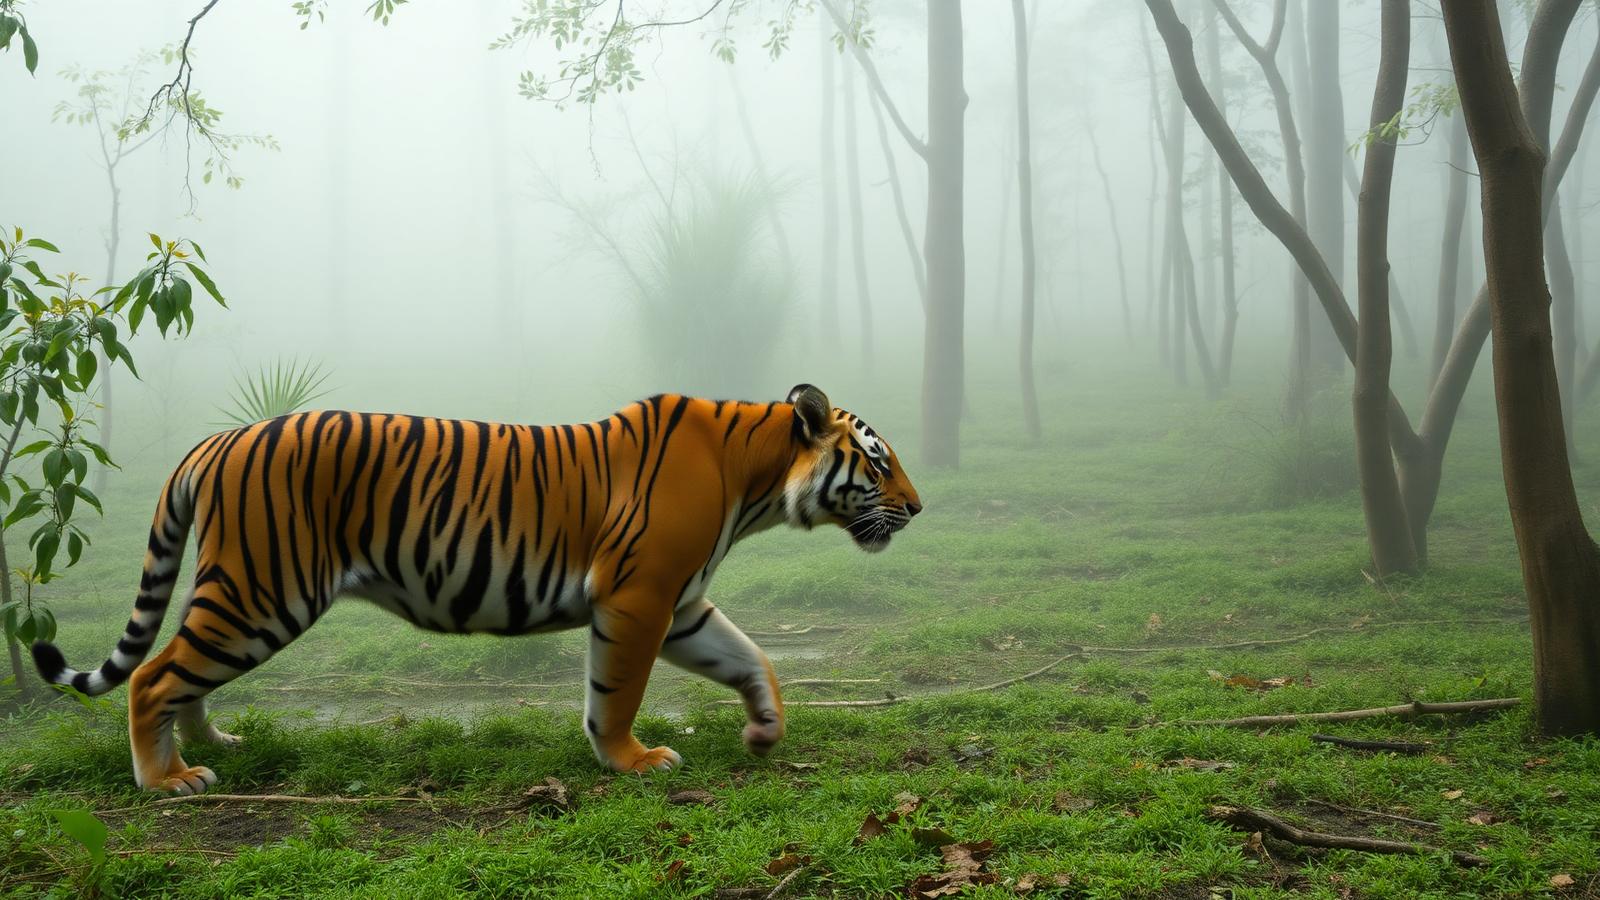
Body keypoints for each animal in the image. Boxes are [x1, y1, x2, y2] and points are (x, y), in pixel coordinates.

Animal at [31, 384, 921, 794]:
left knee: (180, 672)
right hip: (262, 591)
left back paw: (214, 745)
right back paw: (168, 779)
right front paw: (631, 760)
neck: (757, 481)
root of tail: (216, 440)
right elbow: (617, 692)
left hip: (235, 591)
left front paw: (766, 730)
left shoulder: (683, 605)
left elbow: (752, 658)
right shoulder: (639, 598)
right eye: (879, 464)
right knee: (153, 676)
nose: (917, 508)